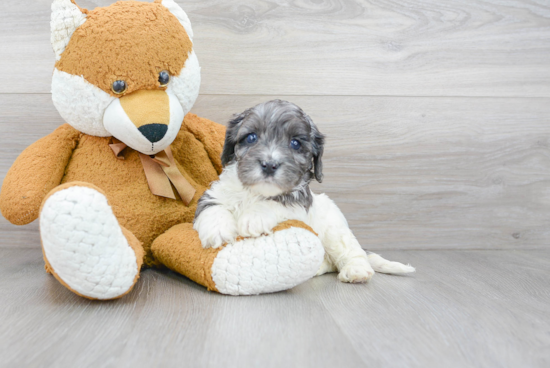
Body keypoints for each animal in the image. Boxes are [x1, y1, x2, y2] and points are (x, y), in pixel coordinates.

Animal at [194, 99, 414, 284]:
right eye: (251, 137)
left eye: (295, 143)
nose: (269, 165)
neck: (255, 192)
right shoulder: (213, 193)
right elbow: (213, 206)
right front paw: (218, 231)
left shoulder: (299, 203)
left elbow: (277, 203)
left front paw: (254, 217)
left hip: (335, 229)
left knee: (351, 251)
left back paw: (357, 270)